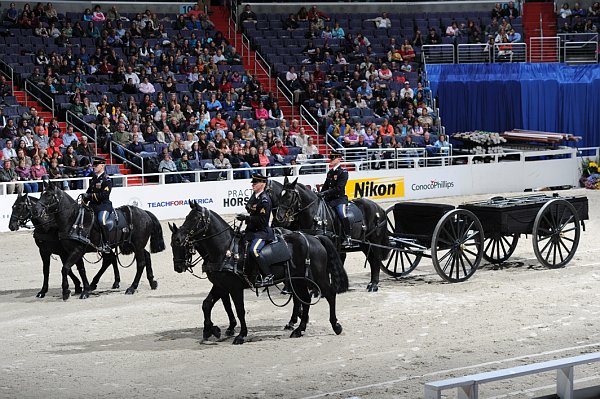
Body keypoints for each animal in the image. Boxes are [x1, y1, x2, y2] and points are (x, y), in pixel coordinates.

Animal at [31, 181, 165, 300]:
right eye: (41, 194)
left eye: (49, 195)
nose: (36, 210)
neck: (74, 220)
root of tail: (144, 213)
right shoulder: (72, 251)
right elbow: (80, 270)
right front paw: (85, 290)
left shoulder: (76, 250)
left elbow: (65, 268)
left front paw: (67, 291)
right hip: (133, 245)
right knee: (146, 256)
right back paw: (152, 281)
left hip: (137, 245)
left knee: (140, 263)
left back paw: (132, 287)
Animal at [170, 202, 346, 346]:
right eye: (172, 244)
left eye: (195, 218)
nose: (179, 237)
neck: (226, 249)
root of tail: (315, 238)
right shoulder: (221, 285)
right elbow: (207, 304)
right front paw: (211, 330)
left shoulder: (234, 287)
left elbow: (239, 310)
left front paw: (240, 335)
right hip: (298, 280)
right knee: (304, 300)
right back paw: (299, 329)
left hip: (317, 276)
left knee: (329, 294)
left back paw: (335, 325)